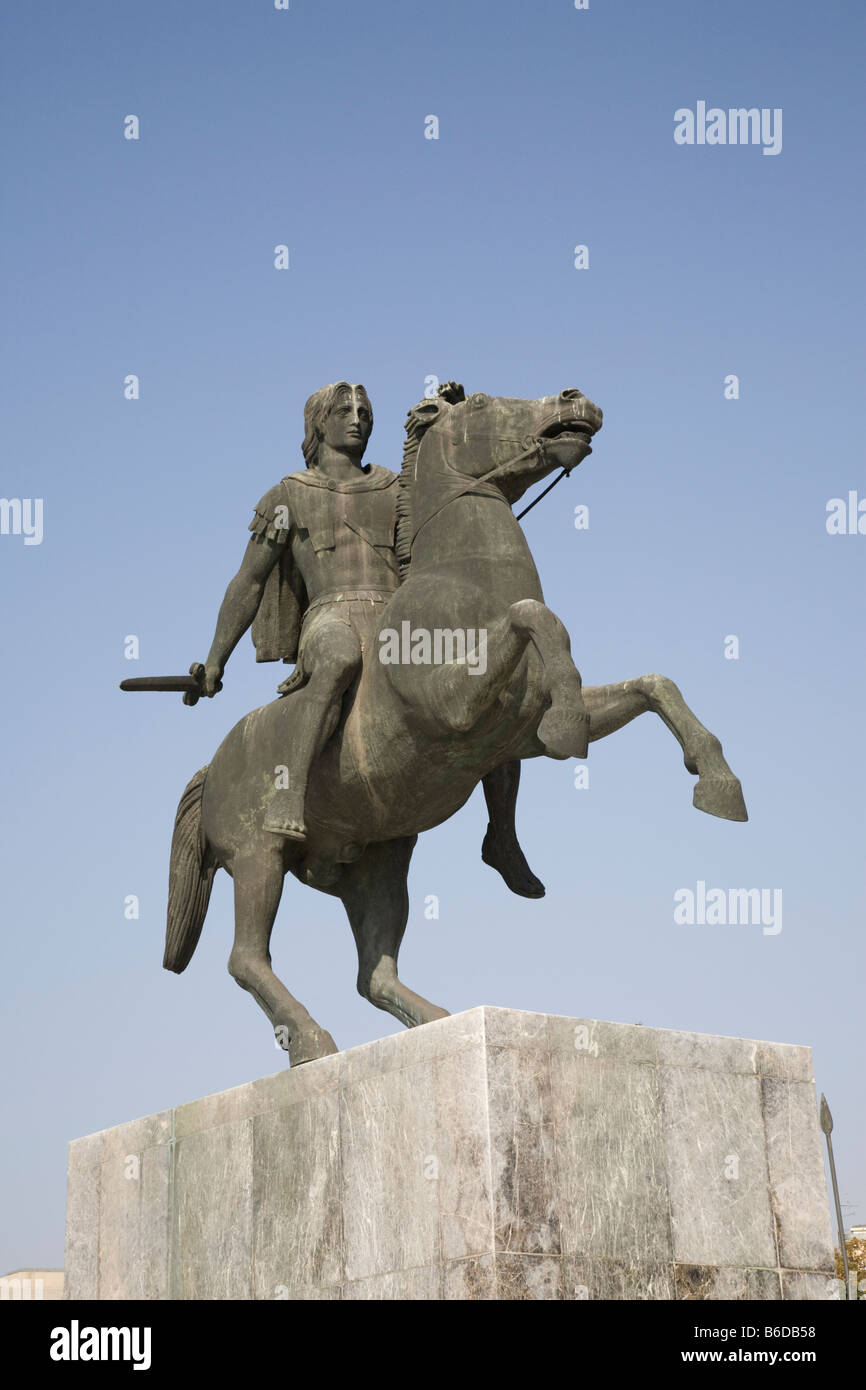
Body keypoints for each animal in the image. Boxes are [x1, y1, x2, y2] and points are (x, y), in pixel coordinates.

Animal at [164, 389, 745, 1061]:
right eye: (486, 402)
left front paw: (717, 782)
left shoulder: (517, 734)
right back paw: (312, 1040)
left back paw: (439, 1018)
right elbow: (534, 615)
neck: (465, 585)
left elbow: (654, 685)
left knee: (373, 972)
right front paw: (572, 723)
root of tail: (212, 767)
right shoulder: (452, 706)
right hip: (259, 855)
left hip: (379, 865)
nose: (576, 401)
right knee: (246, 958)